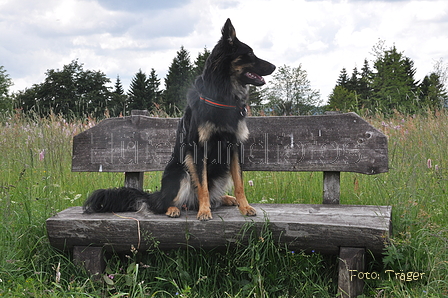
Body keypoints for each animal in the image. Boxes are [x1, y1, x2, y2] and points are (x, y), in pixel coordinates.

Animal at [82, 18, 274, 219]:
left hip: (220, 173)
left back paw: (225, 199)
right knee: (165, 204)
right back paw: (175, 208)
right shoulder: (197, 150)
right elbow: (202, 186)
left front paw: (244, 207)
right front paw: (204, 211)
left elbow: (239, 183)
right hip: (181, 173)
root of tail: (156, 196)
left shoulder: (234, 147)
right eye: (250, 54)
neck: (223, 96)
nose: (274, 67)